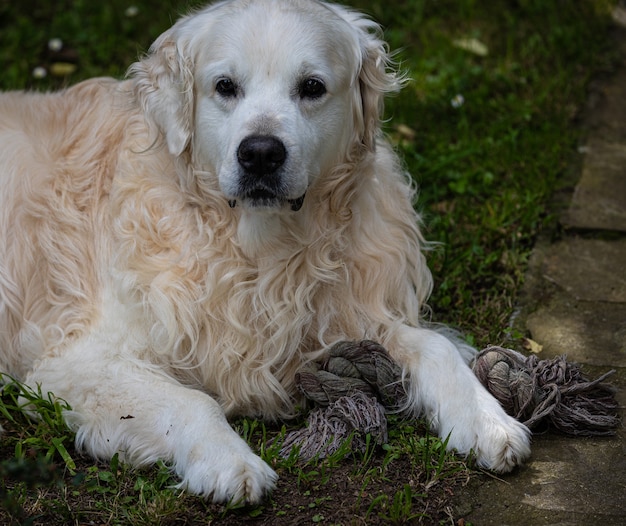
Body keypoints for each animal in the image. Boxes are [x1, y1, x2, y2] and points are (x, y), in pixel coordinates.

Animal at [0, 0, 528, 504]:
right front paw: (229, 462)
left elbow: (438, 348)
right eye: (225, 86)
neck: (260, 251)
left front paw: (487, 421)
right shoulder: (77, 361)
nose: (260, 154)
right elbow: (194, 401)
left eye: (312, 87)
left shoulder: (344, 319)